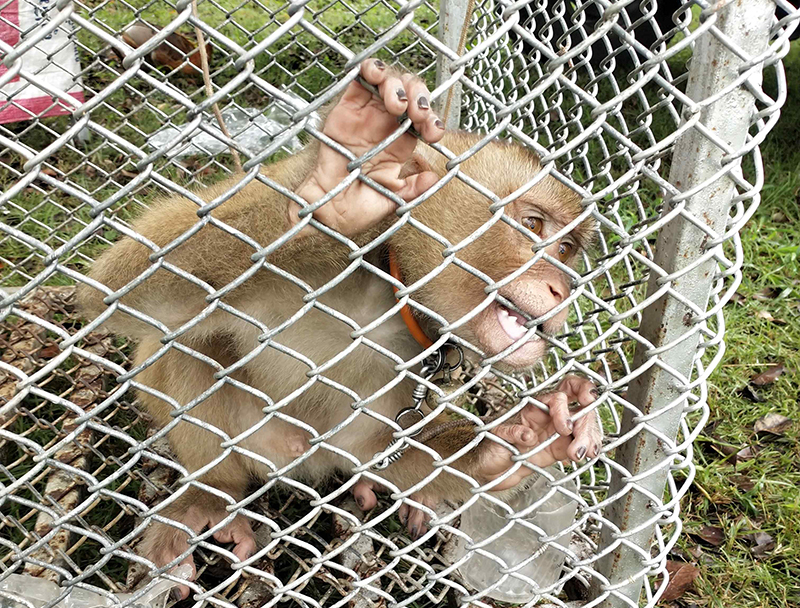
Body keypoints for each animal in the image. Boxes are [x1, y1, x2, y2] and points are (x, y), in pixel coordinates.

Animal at [76, 58, 600, 600]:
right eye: (534, 225)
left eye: (566, 249)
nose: (562, 288)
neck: (389, 288)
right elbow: (116, 291)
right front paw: (334, 188)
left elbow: (372, 454)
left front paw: (523, 437)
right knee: (180, 343)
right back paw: (213, 492)